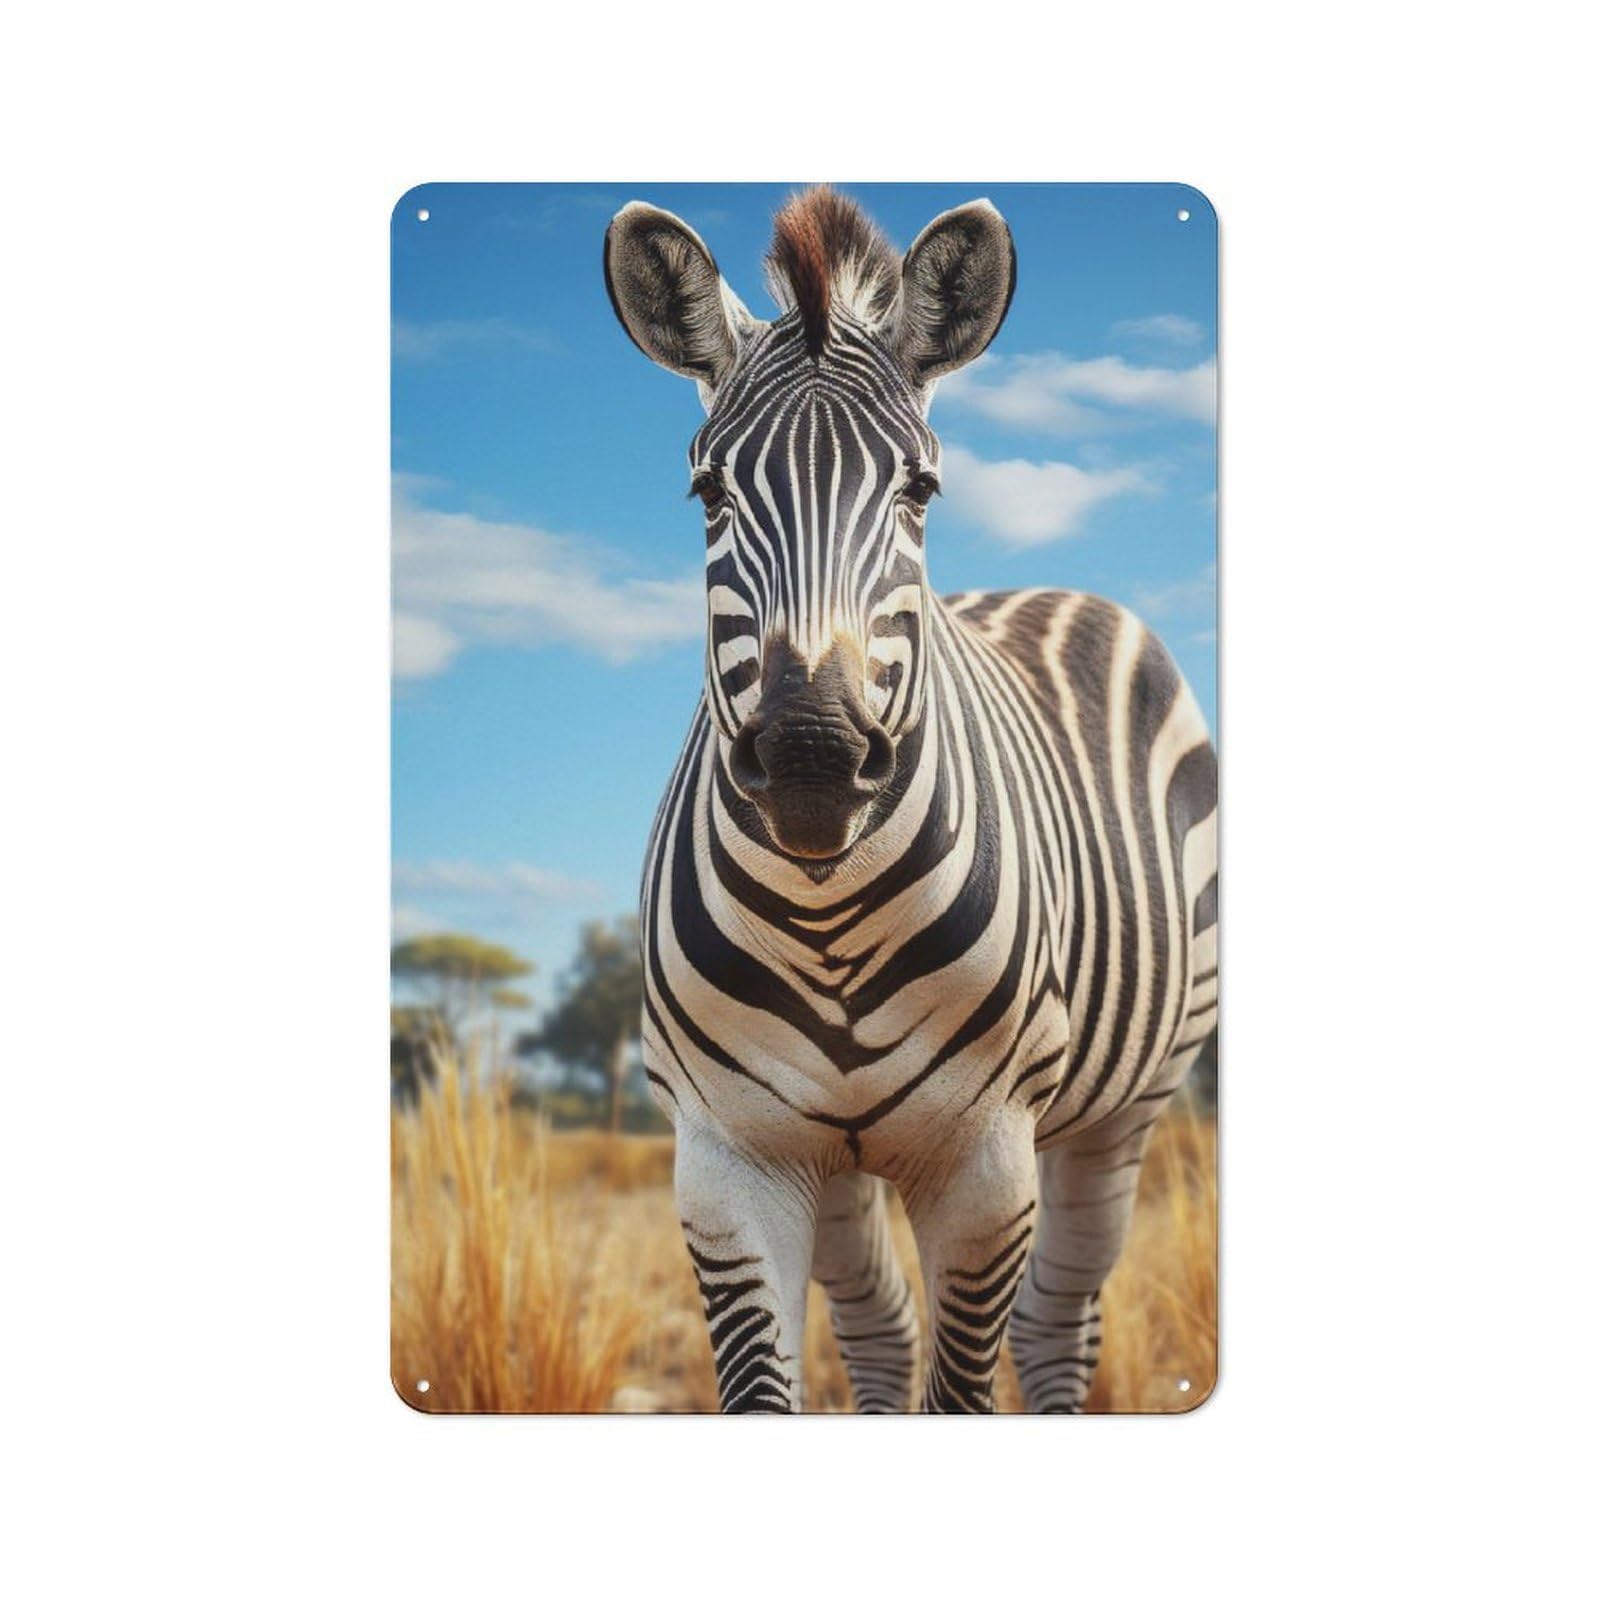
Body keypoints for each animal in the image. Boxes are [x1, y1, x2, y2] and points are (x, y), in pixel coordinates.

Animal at [603, 188, 1218, 1413]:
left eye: (919, 488)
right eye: (708, 491)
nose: (812, 758)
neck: (826, 922)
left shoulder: (987, 1166)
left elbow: (967, 1385)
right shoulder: (728, 1162)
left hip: (1126, 1109)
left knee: (1057, 1325)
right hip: (836, 1163)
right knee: (882, 1330)